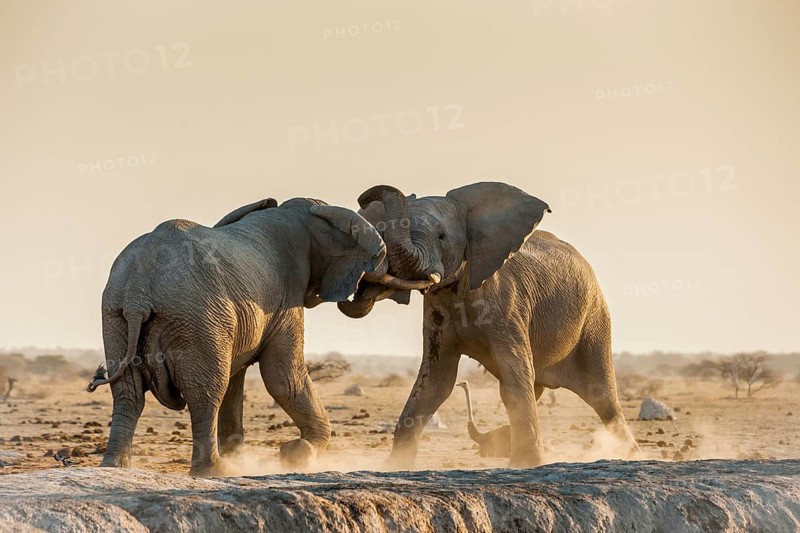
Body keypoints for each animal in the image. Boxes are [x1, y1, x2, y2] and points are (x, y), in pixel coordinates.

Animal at [87, 197, 386, 475]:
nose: (364, 290)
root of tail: (138, 287)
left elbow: (236, 378)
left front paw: (255, 457)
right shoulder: (287, 297)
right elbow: (283, 377)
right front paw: (297, 453)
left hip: (116, 315)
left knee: (128, 393)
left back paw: (114, 467)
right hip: (195, 316)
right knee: (206, 393)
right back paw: (215, 471)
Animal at [338, 182, 640, 468]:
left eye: (442, 237)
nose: (363, 197)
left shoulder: (507, 304)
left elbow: (514, 375)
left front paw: (526, 464)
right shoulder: (436, 313)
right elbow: (436, 381)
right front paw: (395, 465)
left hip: (595, 320)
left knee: (601, 396)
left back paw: (630, 455)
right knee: (535, 385)